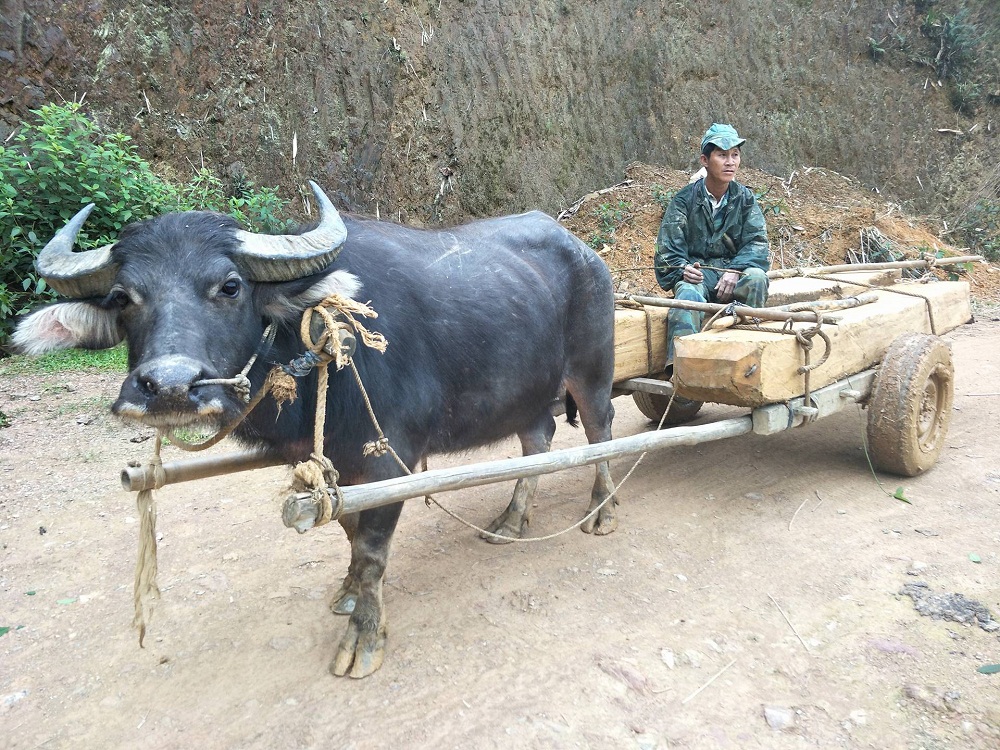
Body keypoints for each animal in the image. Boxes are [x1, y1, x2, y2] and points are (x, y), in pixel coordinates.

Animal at [13, 184, 616, 680]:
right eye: (122, 298)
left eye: (229, 285)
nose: (168, 386)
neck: (321, 345)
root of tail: (586, 253)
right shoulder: (336, 464)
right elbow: (348, 530)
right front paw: (347, 594)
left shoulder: (387, 459)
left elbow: (372, 549)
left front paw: (363, 640)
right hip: (528, 392)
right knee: (538, 442)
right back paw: (511, 522)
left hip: (593, 373)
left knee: (601, 434)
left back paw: (603, 512)